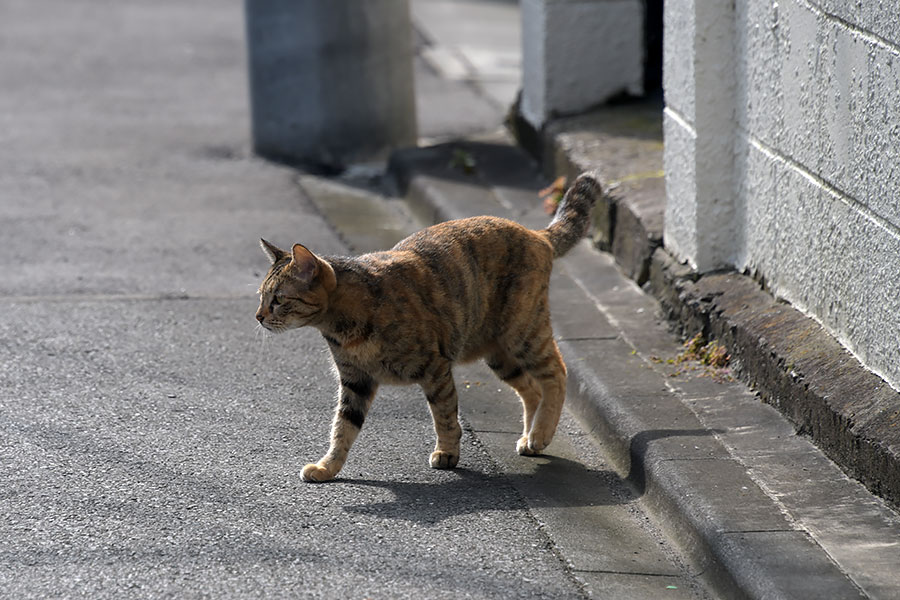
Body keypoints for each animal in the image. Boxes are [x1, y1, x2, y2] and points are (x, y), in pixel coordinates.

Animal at [256, 172, 600, 482]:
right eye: (261, 295)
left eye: (279, 299)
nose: (258, 316)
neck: (343, 328)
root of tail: (536, 234)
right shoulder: (355, 381)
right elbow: (342, 428)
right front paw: (327, 467)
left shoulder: (435, 369)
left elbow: (444, 415)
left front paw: (446, 452)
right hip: (500, 354)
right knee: (531, 389)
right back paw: (531, 438)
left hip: (523, 333)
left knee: (556, 374)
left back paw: (541, 433)